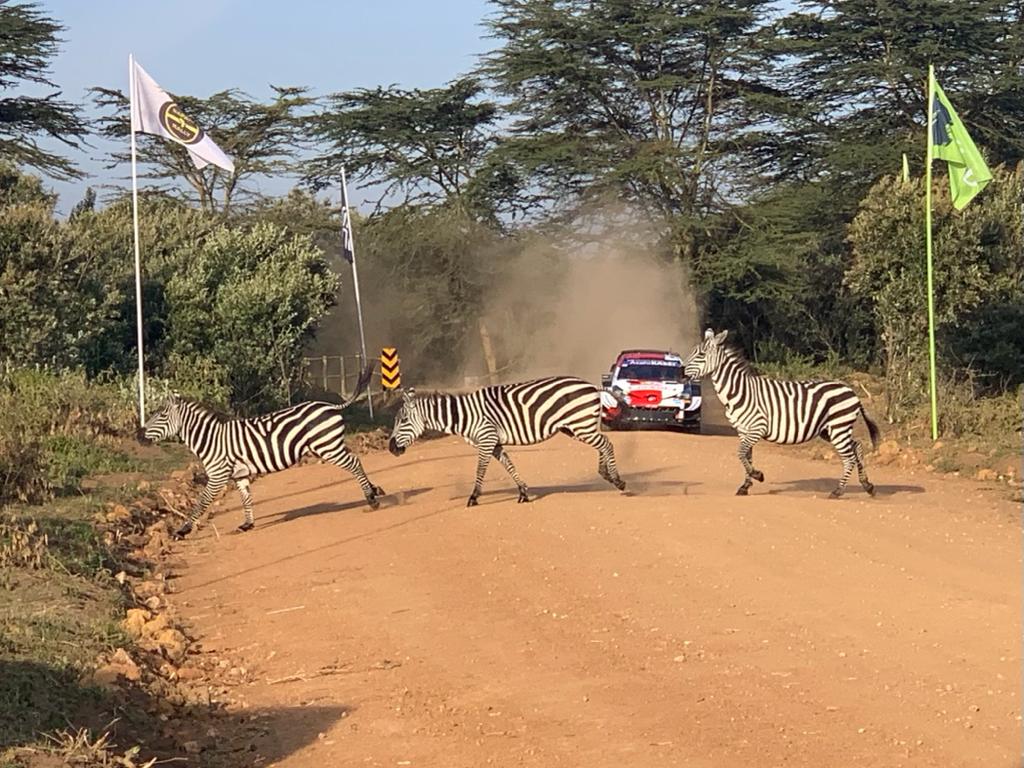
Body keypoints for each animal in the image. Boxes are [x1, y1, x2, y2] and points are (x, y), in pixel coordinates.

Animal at [140, 374, 385, 540]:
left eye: (161, 415)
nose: (138, 435)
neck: (211, 439)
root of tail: (330, 405)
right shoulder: (239, 474)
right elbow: (246, 498)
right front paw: (247, 524)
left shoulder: (218, 474)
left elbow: (202, 502)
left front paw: (182, 530)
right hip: (330, 444)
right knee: (355, 461)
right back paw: (375, 490)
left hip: (327, 446)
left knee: (354, 463)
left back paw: (371, 499)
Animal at [387, 377, 627, 507]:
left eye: (403, 420)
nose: (391, 448)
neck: (463, 416)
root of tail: (592, 386)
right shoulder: (494, 443)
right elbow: (509, 465)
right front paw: (523, 492)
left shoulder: (486, 438)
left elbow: (480, 470)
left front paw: (473, 497)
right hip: (575, 427)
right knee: (603, 443)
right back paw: (606, 474)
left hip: (580, 424)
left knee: (606, 444)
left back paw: (618, 481)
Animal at [684, 329, 880, 498]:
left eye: (701, 355)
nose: (681, 373)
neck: (740, 391)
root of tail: (851, 391)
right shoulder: (743, 430)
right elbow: (747, 455)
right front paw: (745, 486)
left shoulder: (757, 427)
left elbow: (741, 453)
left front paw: (758, 475)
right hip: (831, 430)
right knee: (857, 447)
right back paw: (867, 485)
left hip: (838, 427)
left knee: (849, 457)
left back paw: (838, 491)